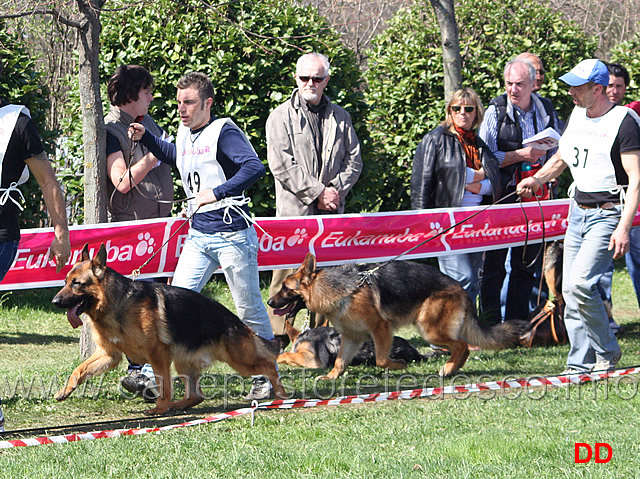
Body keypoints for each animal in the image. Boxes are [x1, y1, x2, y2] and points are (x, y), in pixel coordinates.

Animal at [51, 246, 286, 414]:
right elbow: (79, 370)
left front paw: (160, 408)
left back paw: (281, 394)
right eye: (65, 281)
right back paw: (178, 405)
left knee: (269, 365)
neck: (116, 303)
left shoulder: (157, 354)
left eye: (77, 283)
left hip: (239, 360)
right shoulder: (109, 355)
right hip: (184, 363)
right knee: (196, 395)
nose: (55, 301)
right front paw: (64, 391)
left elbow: (163, 384)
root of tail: (235, 321)